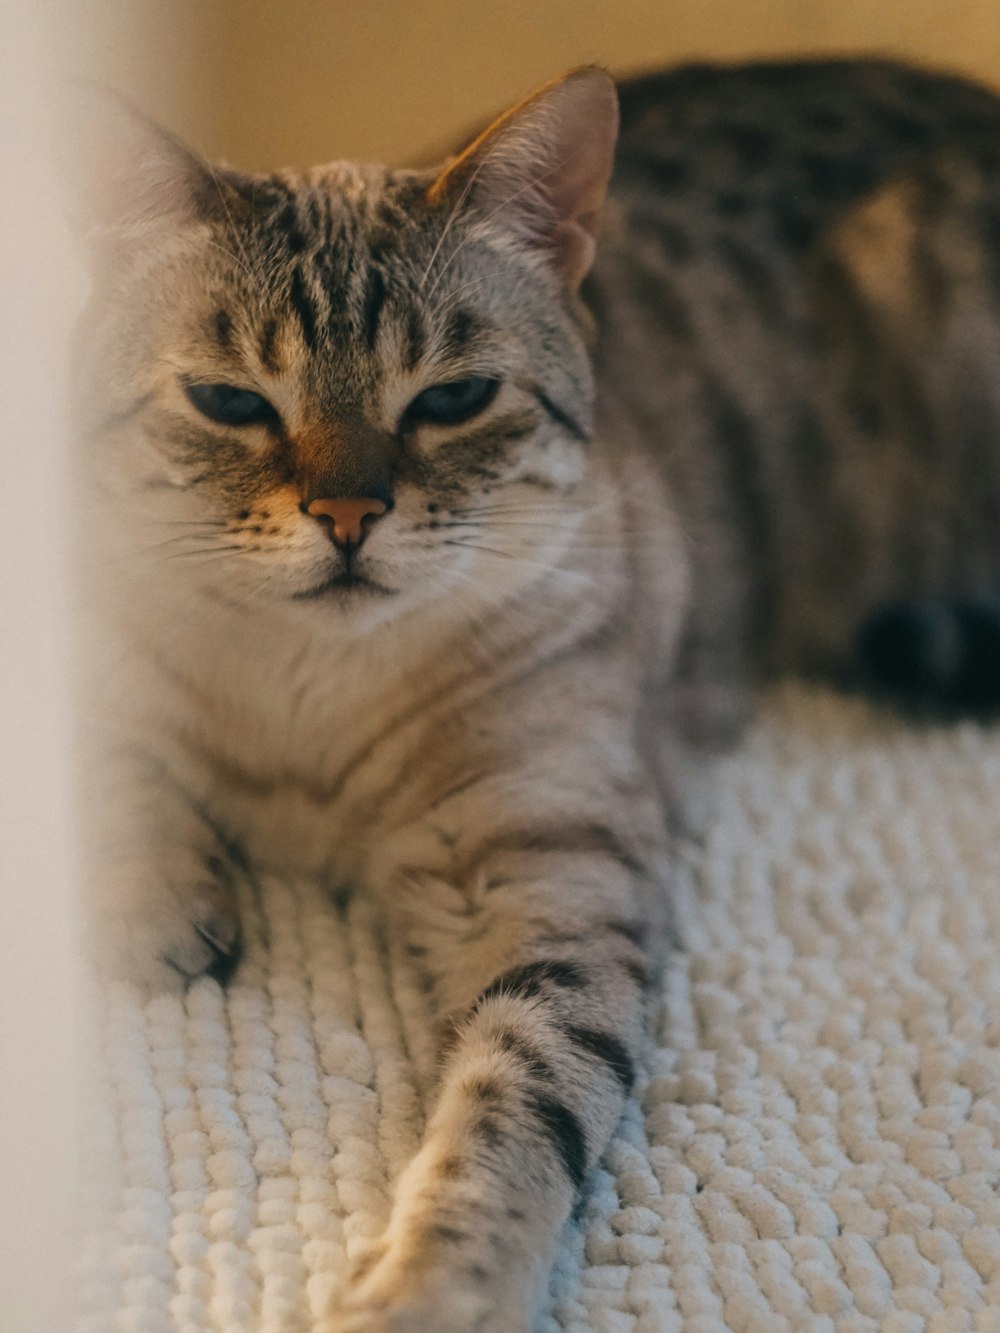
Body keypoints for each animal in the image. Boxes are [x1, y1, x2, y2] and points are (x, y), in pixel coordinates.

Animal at [78, 57, 1000, 1327]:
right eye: (231, 403)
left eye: (452, 398)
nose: (348, 515)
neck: (310, 706)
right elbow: (113, 753)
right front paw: (159, 901)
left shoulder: (549, 887)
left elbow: (510, 1116)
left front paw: (424, 1288)